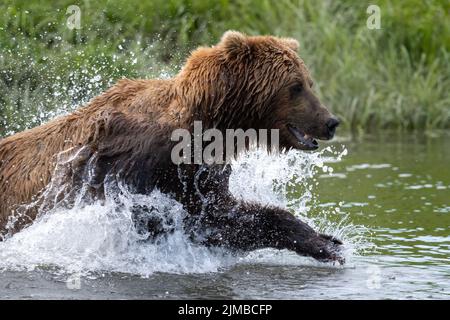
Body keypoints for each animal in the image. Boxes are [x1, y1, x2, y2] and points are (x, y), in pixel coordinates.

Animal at [0, 31, 342, 262]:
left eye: (308, 82)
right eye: (296, 86)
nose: (331, 121)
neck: (207, 122)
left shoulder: (200, 170)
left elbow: (224, 214)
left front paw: (326, 241)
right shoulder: (132, 163)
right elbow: (181, 219)